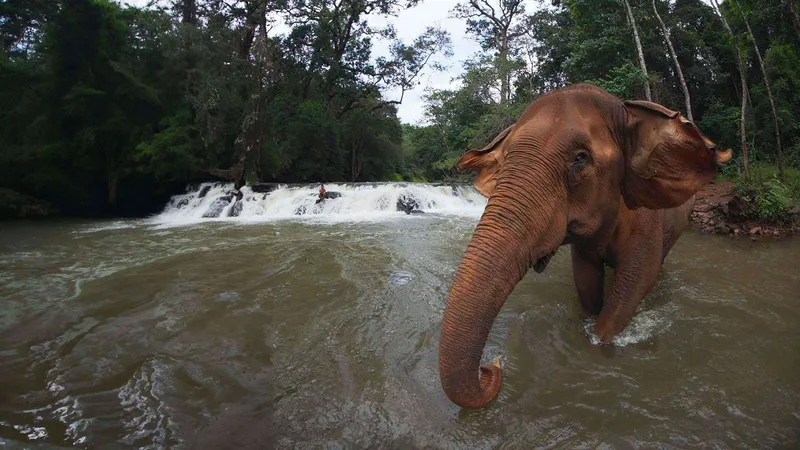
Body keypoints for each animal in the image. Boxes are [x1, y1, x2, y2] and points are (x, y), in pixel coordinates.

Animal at [438, 83, 732, 410]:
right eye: (503, 162)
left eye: (580, 158)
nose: (492, 366)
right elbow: (586, 278)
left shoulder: (647, 217)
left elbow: (638, 278)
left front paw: (598, 342)